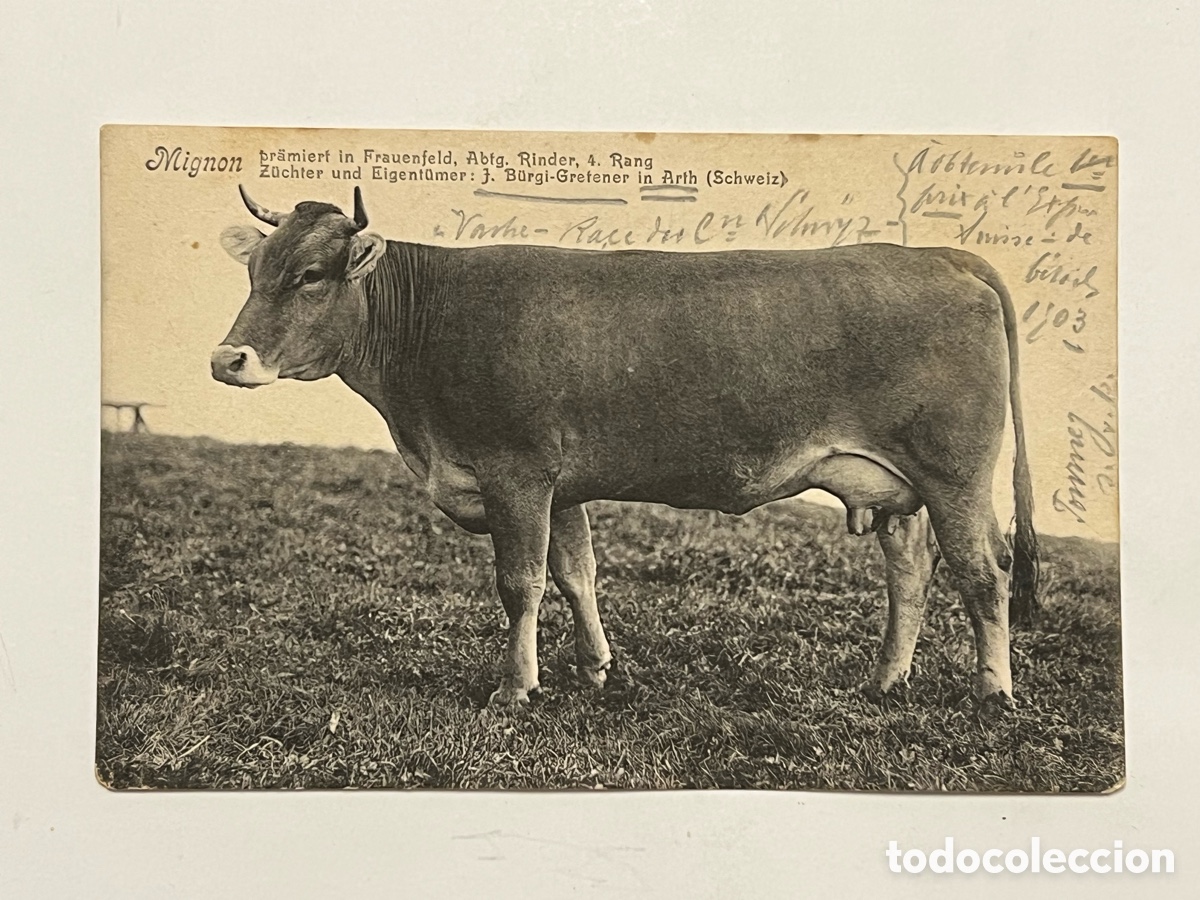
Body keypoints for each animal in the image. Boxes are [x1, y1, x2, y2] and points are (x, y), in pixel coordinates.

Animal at [213, 186, 1038, 710]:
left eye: (310, 275)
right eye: (254, 270)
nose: (227, 360)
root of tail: (939, 255)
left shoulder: (516, 473)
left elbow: (521, 584)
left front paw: (515, 689)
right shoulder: (560, 484)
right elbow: (576, 575)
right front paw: (595, 670)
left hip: (955, 472)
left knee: (983, 572)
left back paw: (993, 692)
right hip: (896, 486)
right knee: (911, 573)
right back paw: (886, 681)